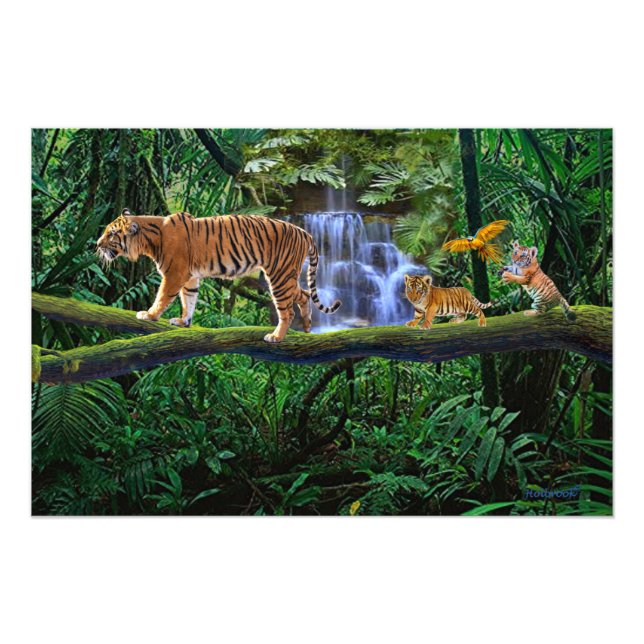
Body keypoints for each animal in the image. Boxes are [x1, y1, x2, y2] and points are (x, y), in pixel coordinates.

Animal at [95, 209, 341, 343]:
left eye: (111, 234)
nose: (96, 245)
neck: (150, 239)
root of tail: (305, 232)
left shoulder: (174, 274)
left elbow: (163, 296)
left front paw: (149, 314)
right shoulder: (190, 277)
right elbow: (188, 299)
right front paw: (184, 321)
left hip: (279, 276)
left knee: (287, 310)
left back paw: (276, 337)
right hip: (287, 276)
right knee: (304, 294)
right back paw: (307, 328)